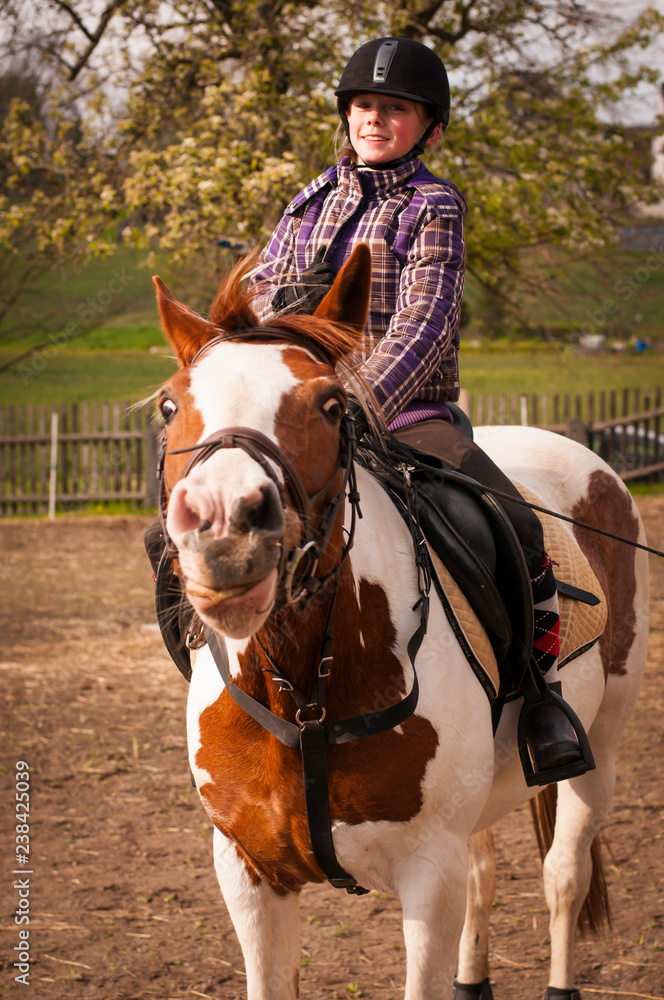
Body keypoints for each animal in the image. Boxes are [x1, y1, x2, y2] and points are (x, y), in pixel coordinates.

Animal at [150, 244, 648, 1000]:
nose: (224, 529)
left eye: (331, 405)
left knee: (565, 874)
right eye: (171, 403)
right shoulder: (249, 875)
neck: (306, 689)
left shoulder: (427, 875)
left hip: (604, 744)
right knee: (486, 871)